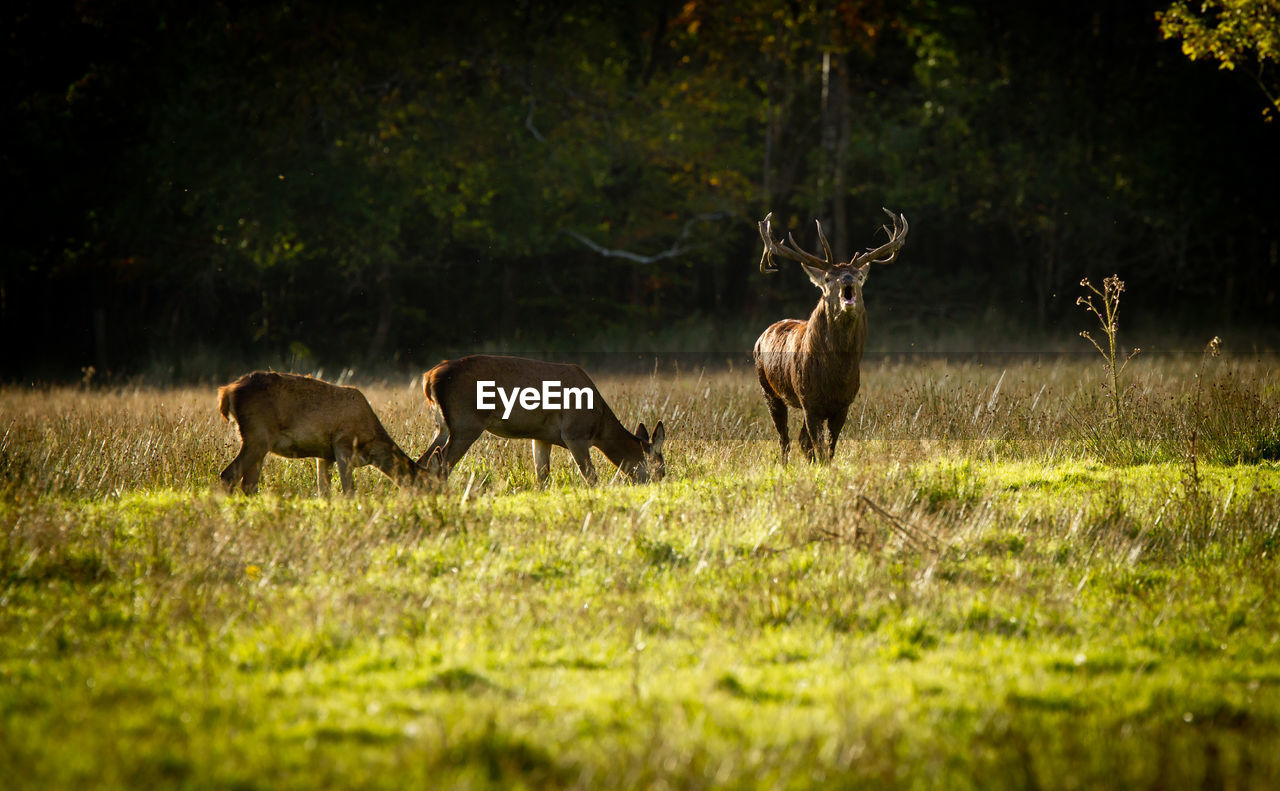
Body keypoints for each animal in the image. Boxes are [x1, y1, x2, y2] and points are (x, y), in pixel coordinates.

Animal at [217, 368, 422, 491]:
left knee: (248, 485)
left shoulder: (324, 455)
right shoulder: (343, 442)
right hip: (258, 435)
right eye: (427, 485)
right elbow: (349, 491)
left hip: (256, 441)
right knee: (228, 475)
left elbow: (324, 492)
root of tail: (227, 391)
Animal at [414, 353, 665, 483]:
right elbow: (591, 477)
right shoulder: (575, 433)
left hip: (442, 425)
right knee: (441, 464)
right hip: (466, 422)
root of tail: (429, 377)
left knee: (424, 460)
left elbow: (542, 477)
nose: (660, 482)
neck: (599, 426)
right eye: (661, 468)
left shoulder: (541, 437)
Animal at [752, 207, 906, 460]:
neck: (835, 375)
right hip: (768, 390)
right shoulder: (809, 401)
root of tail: (762, 334)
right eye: (827, 278)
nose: (848, 278)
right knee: (784, 439)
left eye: (859, 276)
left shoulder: (843, 405)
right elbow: (819, 447)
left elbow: (829, 448)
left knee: (800, 439)